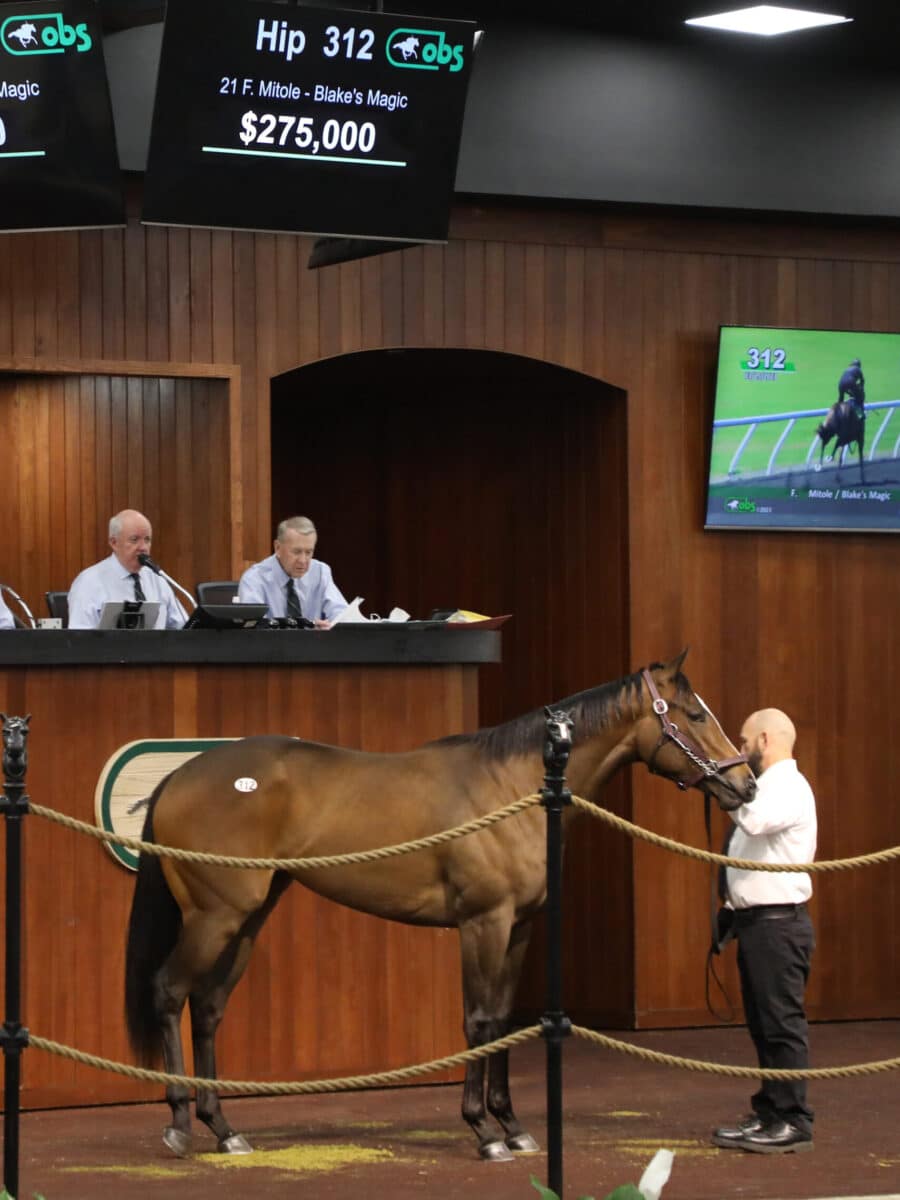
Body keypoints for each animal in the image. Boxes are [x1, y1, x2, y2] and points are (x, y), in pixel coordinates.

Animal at [123, 652, 753, 1156]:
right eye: (695, 714)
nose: (745, 784)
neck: (511, 789)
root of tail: (176, 776)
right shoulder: (483, 923)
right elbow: (477, 1018)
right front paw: (484, 1131)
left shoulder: (520, 928)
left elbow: (502, 1018)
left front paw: (513, 1126)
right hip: (214, 918)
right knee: (169, 992)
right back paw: (179, 1123)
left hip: (249, 919)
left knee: (207, 1008)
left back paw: (224, 1128)